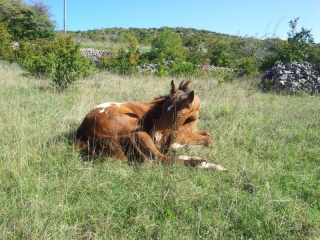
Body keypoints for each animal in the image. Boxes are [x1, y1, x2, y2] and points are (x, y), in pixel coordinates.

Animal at [74, 80, 225, 171]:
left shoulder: (190, 132)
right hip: (140, 134)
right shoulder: (175, 136)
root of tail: (84, 127)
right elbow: (207, 140)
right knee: (160, 159)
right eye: (162, 108)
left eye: (179, 115)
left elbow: (208, 136)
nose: (155, 136)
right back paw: (204, 164)